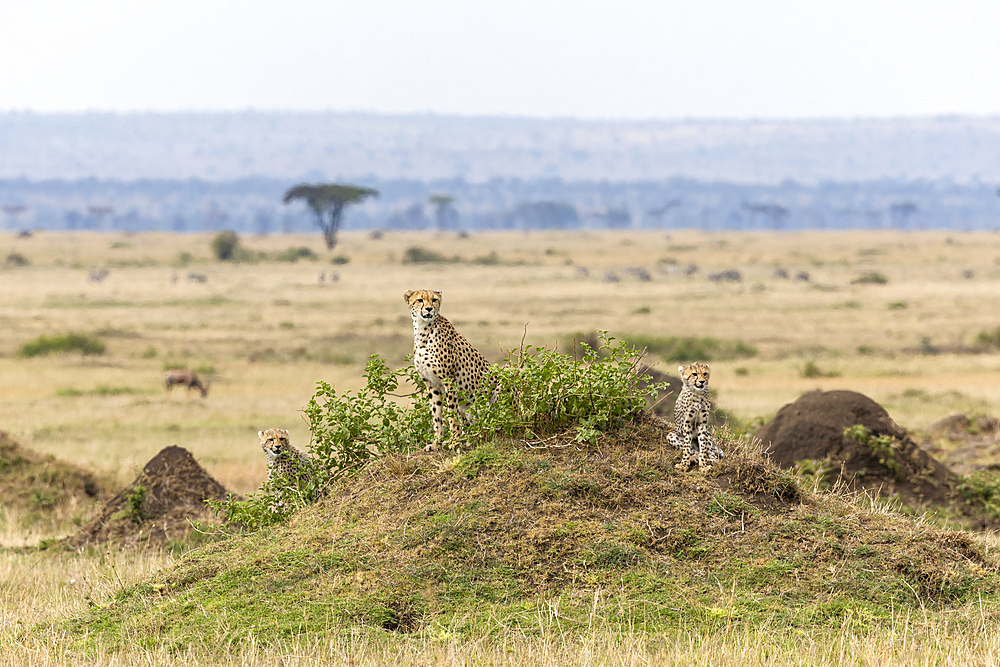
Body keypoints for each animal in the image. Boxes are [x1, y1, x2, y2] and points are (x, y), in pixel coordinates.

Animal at [402, 288, 488, 448]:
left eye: (434, 299)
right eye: (420, 300)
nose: (429, 309)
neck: (423, 330)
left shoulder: (449, 380)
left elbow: (451, 412)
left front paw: (455, 441)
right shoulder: (431, 383)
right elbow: (436, 415)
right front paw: (437, 442)